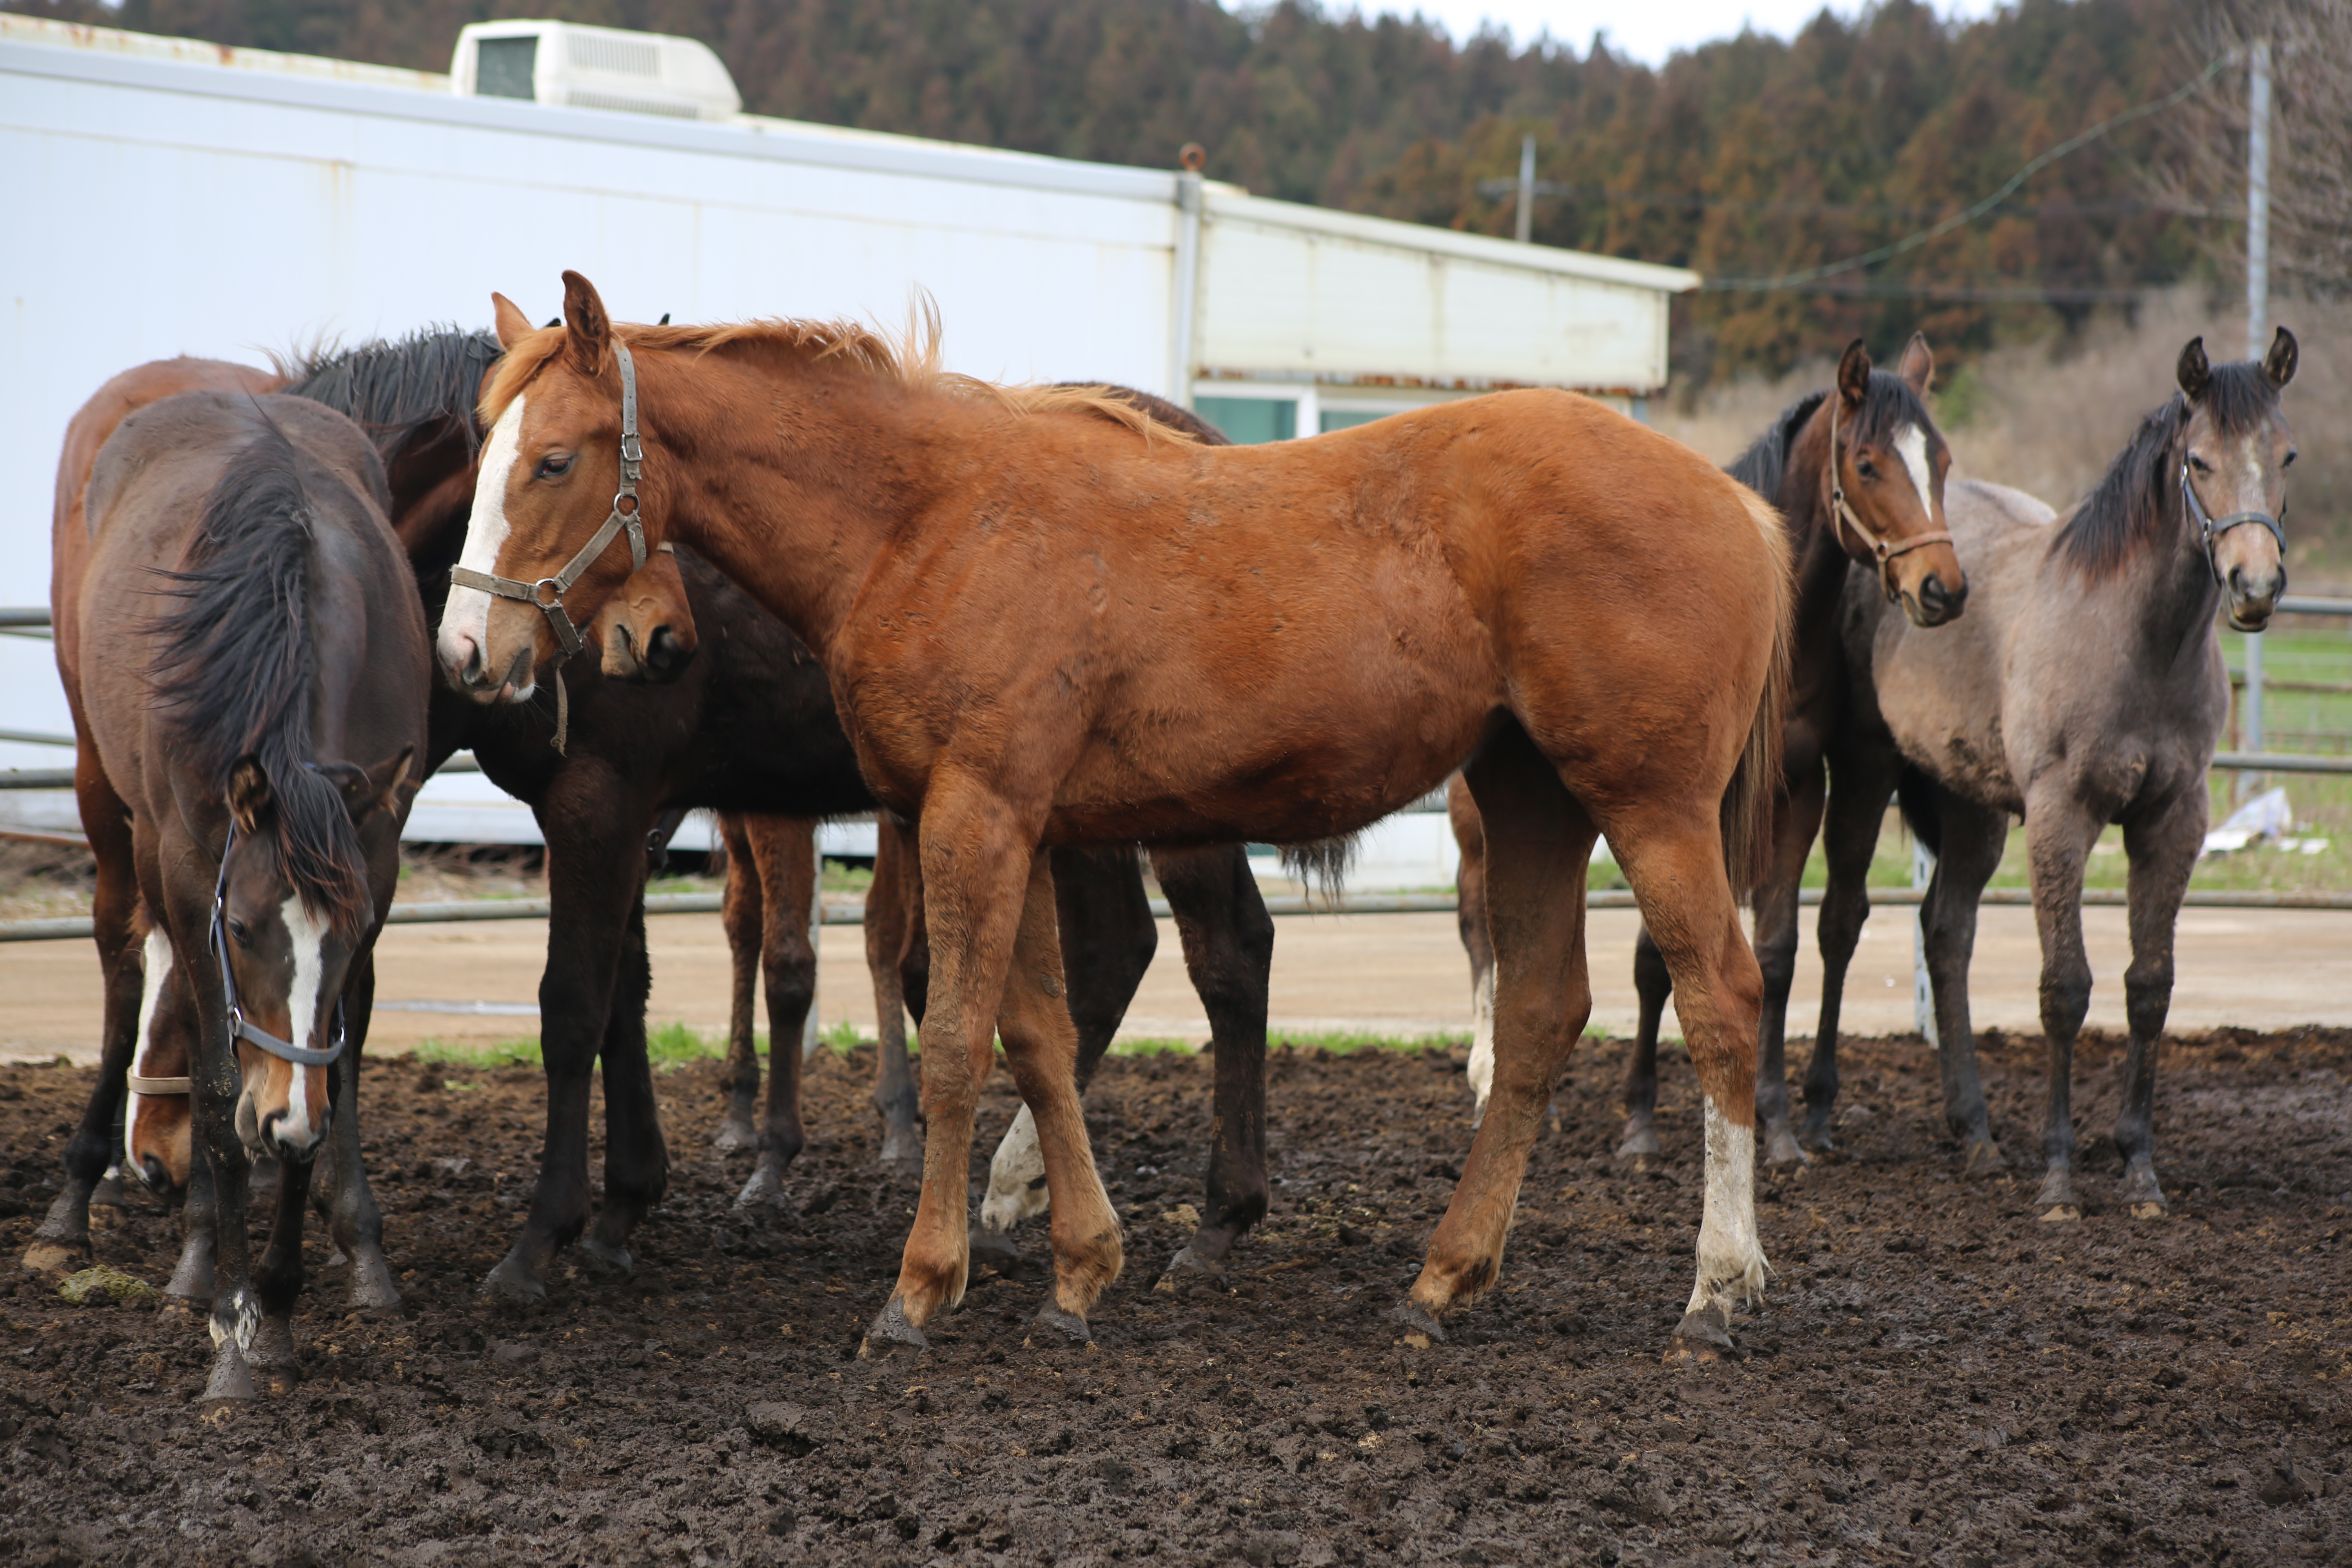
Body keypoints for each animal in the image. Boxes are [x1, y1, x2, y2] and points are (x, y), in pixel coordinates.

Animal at [67, 390, 428, 1401]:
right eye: (243, 925)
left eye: (351, 930)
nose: (287, 1121)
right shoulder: (193, 876)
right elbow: (223, 1086)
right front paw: (233, 1324)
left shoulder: (374, 860)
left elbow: (332, 1064)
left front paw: (278, 1304)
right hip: (114, 816)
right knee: (134, 974)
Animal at [442, 272, 1787, 1363]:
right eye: (478, 448)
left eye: (554, 460)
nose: (468, 650)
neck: (921, 519)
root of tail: (1737, 505)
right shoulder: (1016, 825)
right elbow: (1039, 1037)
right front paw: (1078, 1273)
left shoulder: (975, 816)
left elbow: (956, 1042)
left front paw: (920, 1289)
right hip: (1530, 794)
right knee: (1540, 1011)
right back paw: (1443, 1279)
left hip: (1648, 804)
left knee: (1722, 998)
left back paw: (1715, 1291)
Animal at [1449, 334, 1966, 1166]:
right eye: (1866, 464)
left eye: (1941, 460)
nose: (1942, 588)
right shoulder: (1683, 807)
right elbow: (1654, 960)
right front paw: (1639, 1120)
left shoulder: (1794, 794)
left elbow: (1776, 953)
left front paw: (1777, 1126)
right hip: (1481, 825)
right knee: (1480, 933)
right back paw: (1493, 1083)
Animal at [1815, 329, 2295, 1213]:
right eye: (2199, 461)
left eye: (2286, 454)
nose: (2255, 586)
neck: (2134, 638)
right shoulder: (2060, 813)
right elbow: (2065, 988)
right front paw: (2060, 1178)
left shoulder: (2174, 820)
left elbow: (2150, 986)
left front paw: (2139, 1169)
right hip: (1866, 774)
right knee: (1840, 922)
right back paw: (1814, 1118)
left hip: (1968, 804)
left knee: (1947, 932)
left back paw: (1974, 1132)